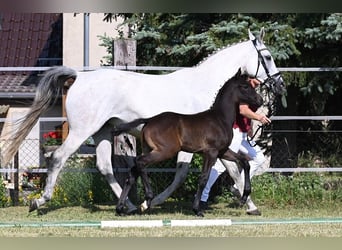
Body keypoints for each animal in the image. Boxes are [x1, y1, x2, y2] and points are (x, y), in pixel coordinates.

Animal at [113, 69, 264, 216]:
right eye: (245, 86)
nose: (260, 100)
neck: (220, 118)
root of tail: (149, 120)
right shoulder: (211, 152)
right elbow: (203, 178)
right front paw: (197, 210)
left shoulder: (223, 151)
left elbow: (245, 162)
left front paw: (244, 197)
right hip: (165, 151)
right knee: (140, 162)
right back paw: (147, 199)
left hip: (150, 149)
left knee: (132, 173)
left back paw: (121, 209)